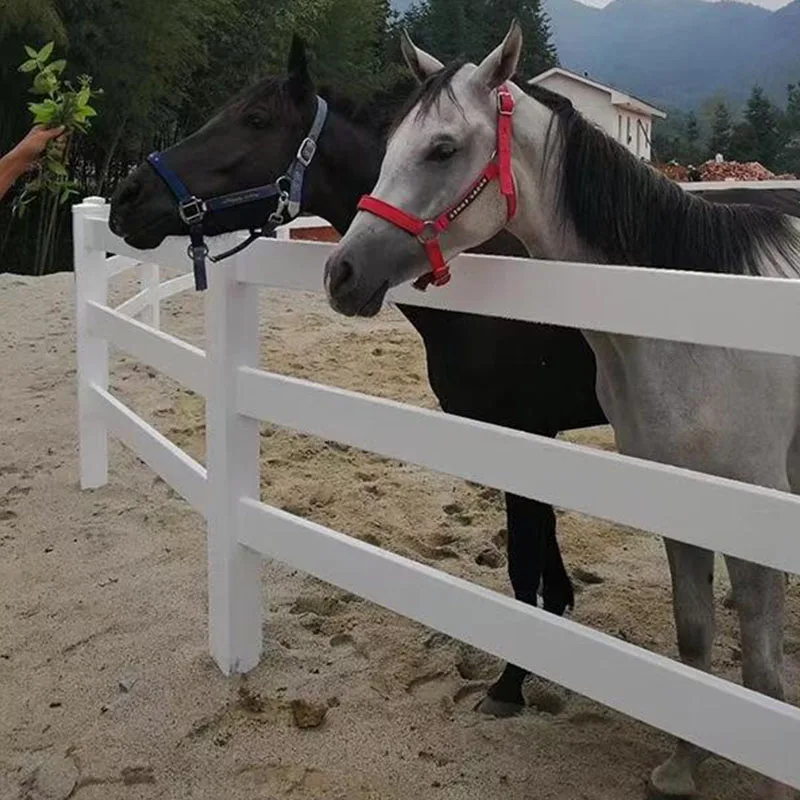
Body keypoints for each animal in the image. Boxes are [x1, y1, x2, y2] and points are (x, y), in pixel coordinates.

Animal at [322, 22, 800, 800]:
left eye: (442, 149)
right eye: (389, 144)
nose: (341, 272)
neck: (694, 320)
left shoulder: (751, 502)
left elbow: (760, 672)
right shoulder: (679, 503)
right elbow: (693, 636)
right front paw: (682, 764)